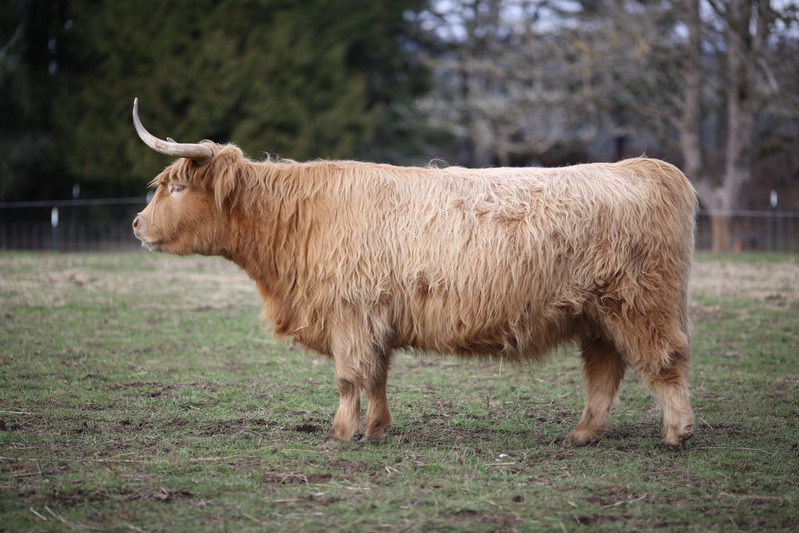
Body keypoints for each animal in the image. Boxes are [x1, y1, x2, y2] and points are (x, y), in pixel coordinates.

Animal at [131, 98, 697, 450]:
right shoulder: (375, 317)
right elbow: (377, 375)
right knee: (605, 370)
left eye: (176, 187)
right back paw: (582, 434)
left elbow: (348, 377)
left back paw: (677, 432)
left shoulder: (349, 313)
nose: (137, 223)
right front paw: (377, 429)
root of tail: (644, 167)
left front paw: (340, 433)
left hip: (639, 303)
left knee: (664, 360)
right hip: (596, 313)